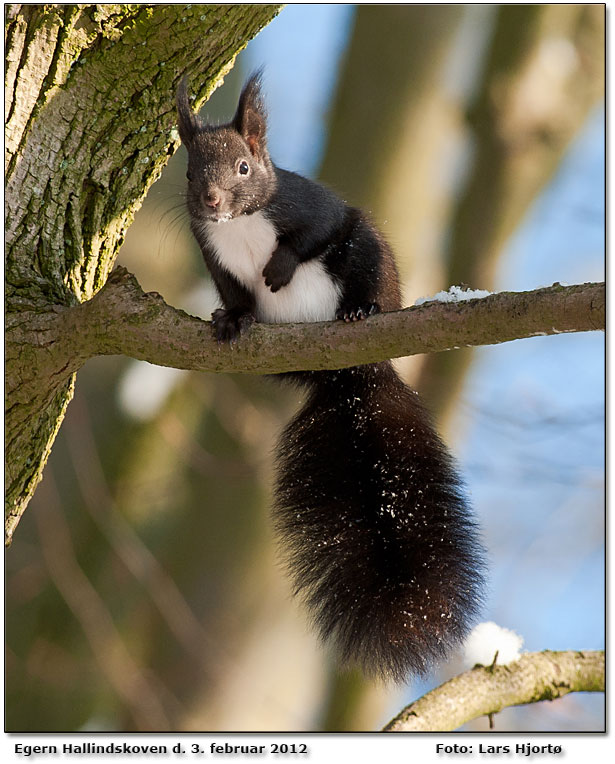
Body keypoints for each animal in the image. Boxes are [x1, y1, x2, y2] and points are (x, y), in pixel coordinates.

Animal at [176, 73, 484, 680]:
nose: (211, 201)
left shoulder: (309, 207)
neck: (240, 226)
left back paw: (359, 312)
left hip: (366, 254)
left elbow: (312, 233)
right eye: (191, 172)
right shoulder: (214, 257)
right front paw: (231, 319)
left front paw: (278, 266)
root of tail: (348, 378)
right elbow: (236, 294)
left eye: (244, 167)